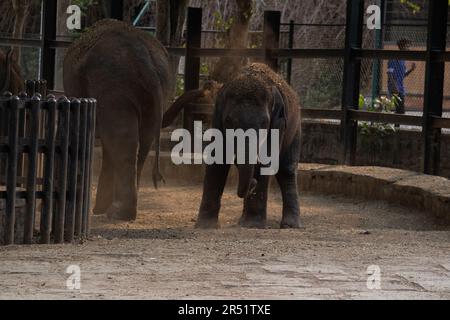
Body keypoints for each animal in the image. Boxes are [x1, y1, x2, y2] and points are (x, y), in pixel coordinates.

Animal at [63, 19, 174, 220]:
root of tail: (146, 60)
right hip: (157, 91)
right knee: (142, 141)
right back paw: (117, 211)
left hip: (114, 85)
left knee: (123, 140)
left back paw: (118, 213)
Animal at [198, 63, 302, 228]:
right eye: (229, 121)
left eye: (265, 123)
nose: (252, 184)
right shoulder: (217, 117)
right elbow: (217, 160)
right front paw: (205, 226)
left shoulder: (278, 123)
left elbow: (266, 162)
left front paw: (253, 225)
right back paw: (242, 221)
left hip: (295, 128)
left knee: (287, 170)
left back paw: (290, 225)